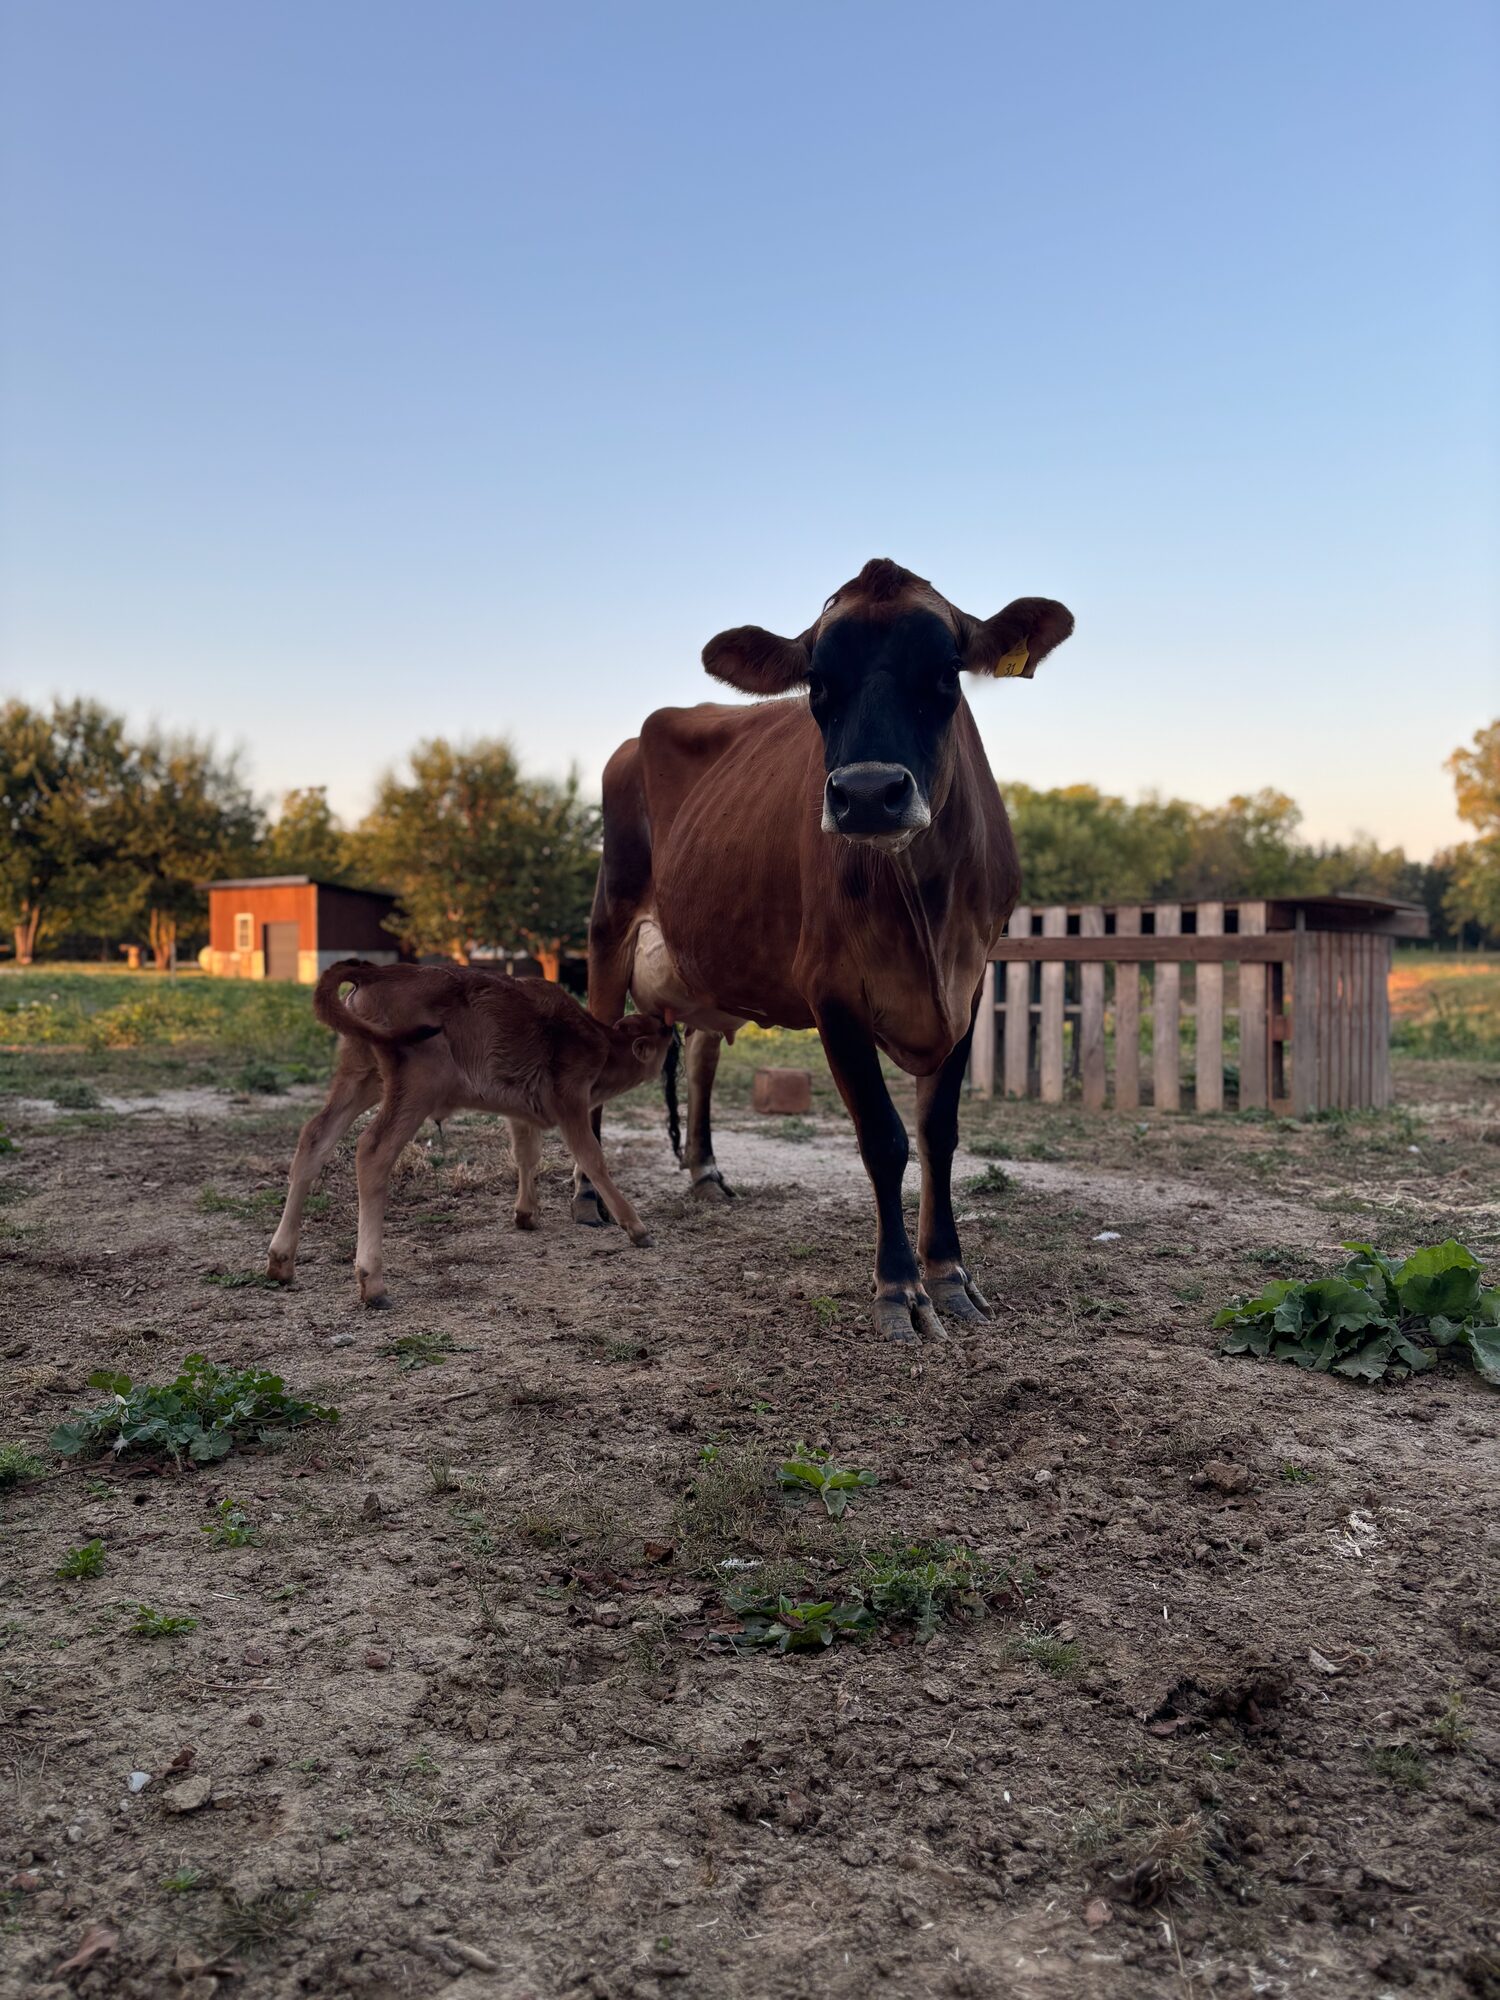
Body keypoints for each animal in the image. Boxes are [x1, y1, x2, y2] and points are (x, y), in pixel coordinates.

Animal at [266, 959, 676, 1306]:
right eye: (659, 1034)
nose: (670, 1023)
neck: (602, 1043)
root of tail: (377, 971)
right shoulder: (572, 1103)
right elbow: (593, 1159)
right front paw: (637, 1228)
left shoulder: (522, 1111)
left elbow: (527, 1155)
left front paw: (526, 1214)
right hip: (417, 1086)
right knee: (372, 1152)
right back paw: (373, 1284)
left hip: (362, 1078)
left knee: (315, 1138)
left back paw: (281, 1262)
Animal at [572, 558, 1074, 1340]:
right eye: (816, 680)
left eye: (946, 671)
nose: (868, 793)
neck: (924, 912)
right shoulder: (832, 990)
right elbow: (883, 1137)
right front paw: (900, 1287)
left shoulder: (970, 980)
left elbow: (939, 1132)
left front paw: (949, 1273)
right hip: (611, 913)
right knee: (594, 1034)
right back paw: (586, 1196)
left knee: (703, 1056)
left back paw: (705, 1171)